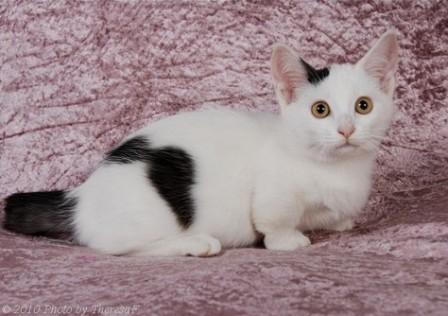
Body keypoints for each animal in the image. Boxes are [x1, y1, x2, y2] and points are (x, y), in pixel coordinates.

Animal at [1, 30, 398, 256]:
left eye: (363, 106)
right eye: (320, 110)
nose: (346, 130)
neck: (335, 168)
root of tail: (81, 195)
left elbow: (333, 215)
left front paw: (338, 223)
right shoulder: (275, 194)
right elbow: (276, 220)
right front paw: (288, 241)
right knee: (119, 248)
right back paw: (195, 243)